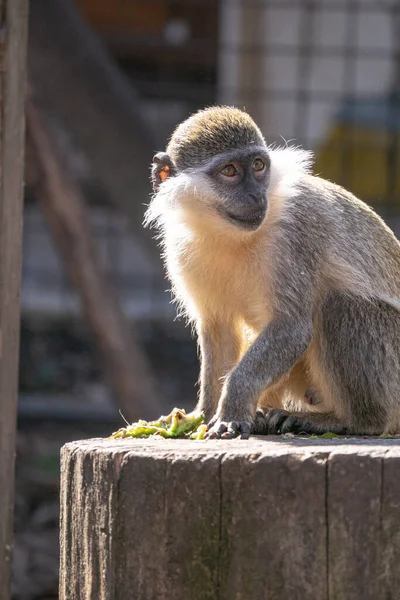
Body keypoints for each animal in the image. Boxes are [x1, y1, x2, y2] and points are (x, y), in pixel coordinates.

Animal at [145, 105, 400, 438]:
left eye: (257, 166)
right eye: (229, 171)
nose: (256, 195)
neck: (230, 234)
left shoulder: (293, 234)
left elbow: (291, 328)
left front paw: (232, 411)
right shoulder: (181, 249)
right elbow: (219, 328)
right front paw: (204, 413)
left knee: (338, 305)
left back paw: (353, 421)